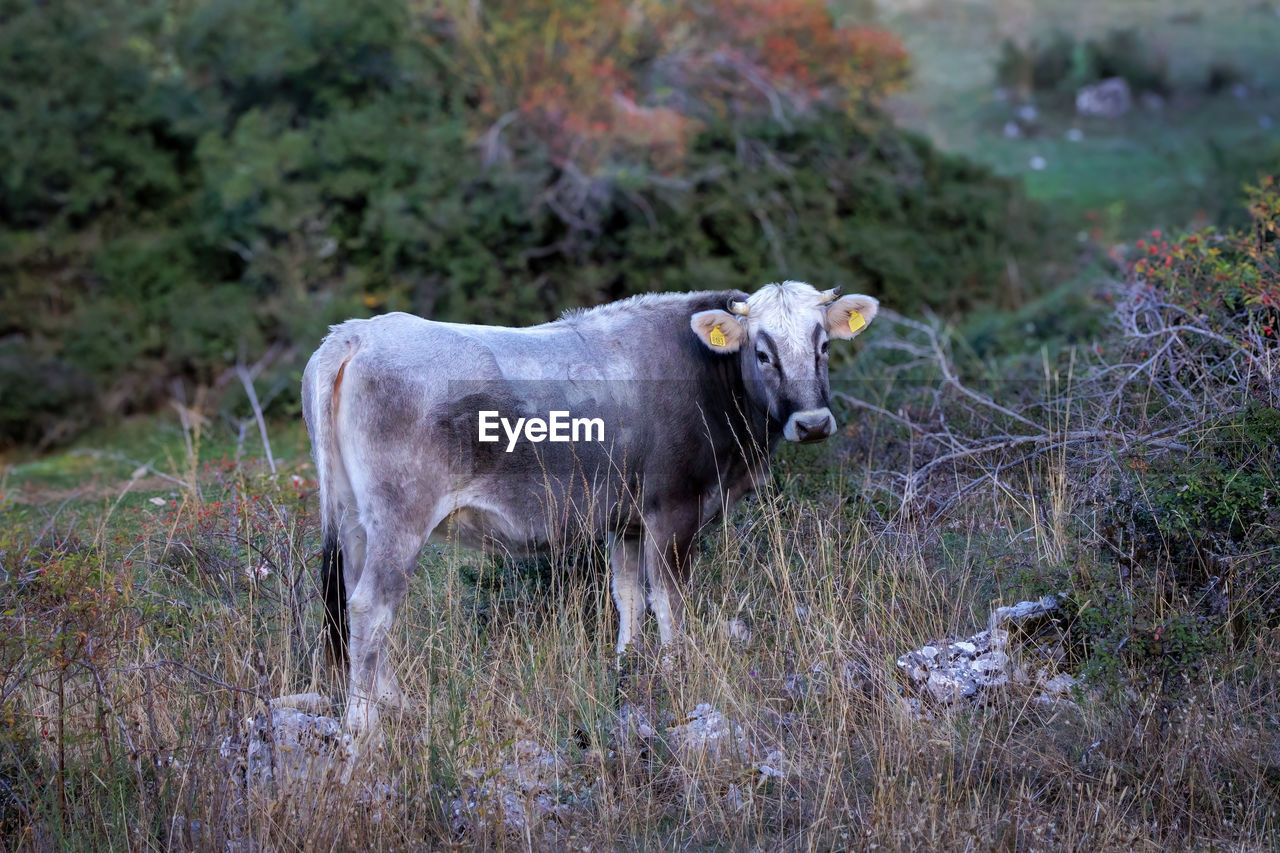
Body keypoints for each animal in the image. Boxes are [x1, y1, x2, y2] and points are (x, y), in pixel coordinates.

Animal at [304, 280, 875, 732]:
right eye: (762, 353)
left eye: (824, 345)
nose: (812, 423)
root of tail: (357, 332)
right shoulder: (676, 510)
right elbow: (669, 602)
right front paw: (676, 676)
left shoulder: (627, 522)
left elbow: (628, 596)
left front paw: (627, 669)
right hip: (400, 517)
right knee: (371, 607)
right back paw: (365, 726)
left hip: (356, 519)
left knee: (357, 601)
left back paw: (395, 703)